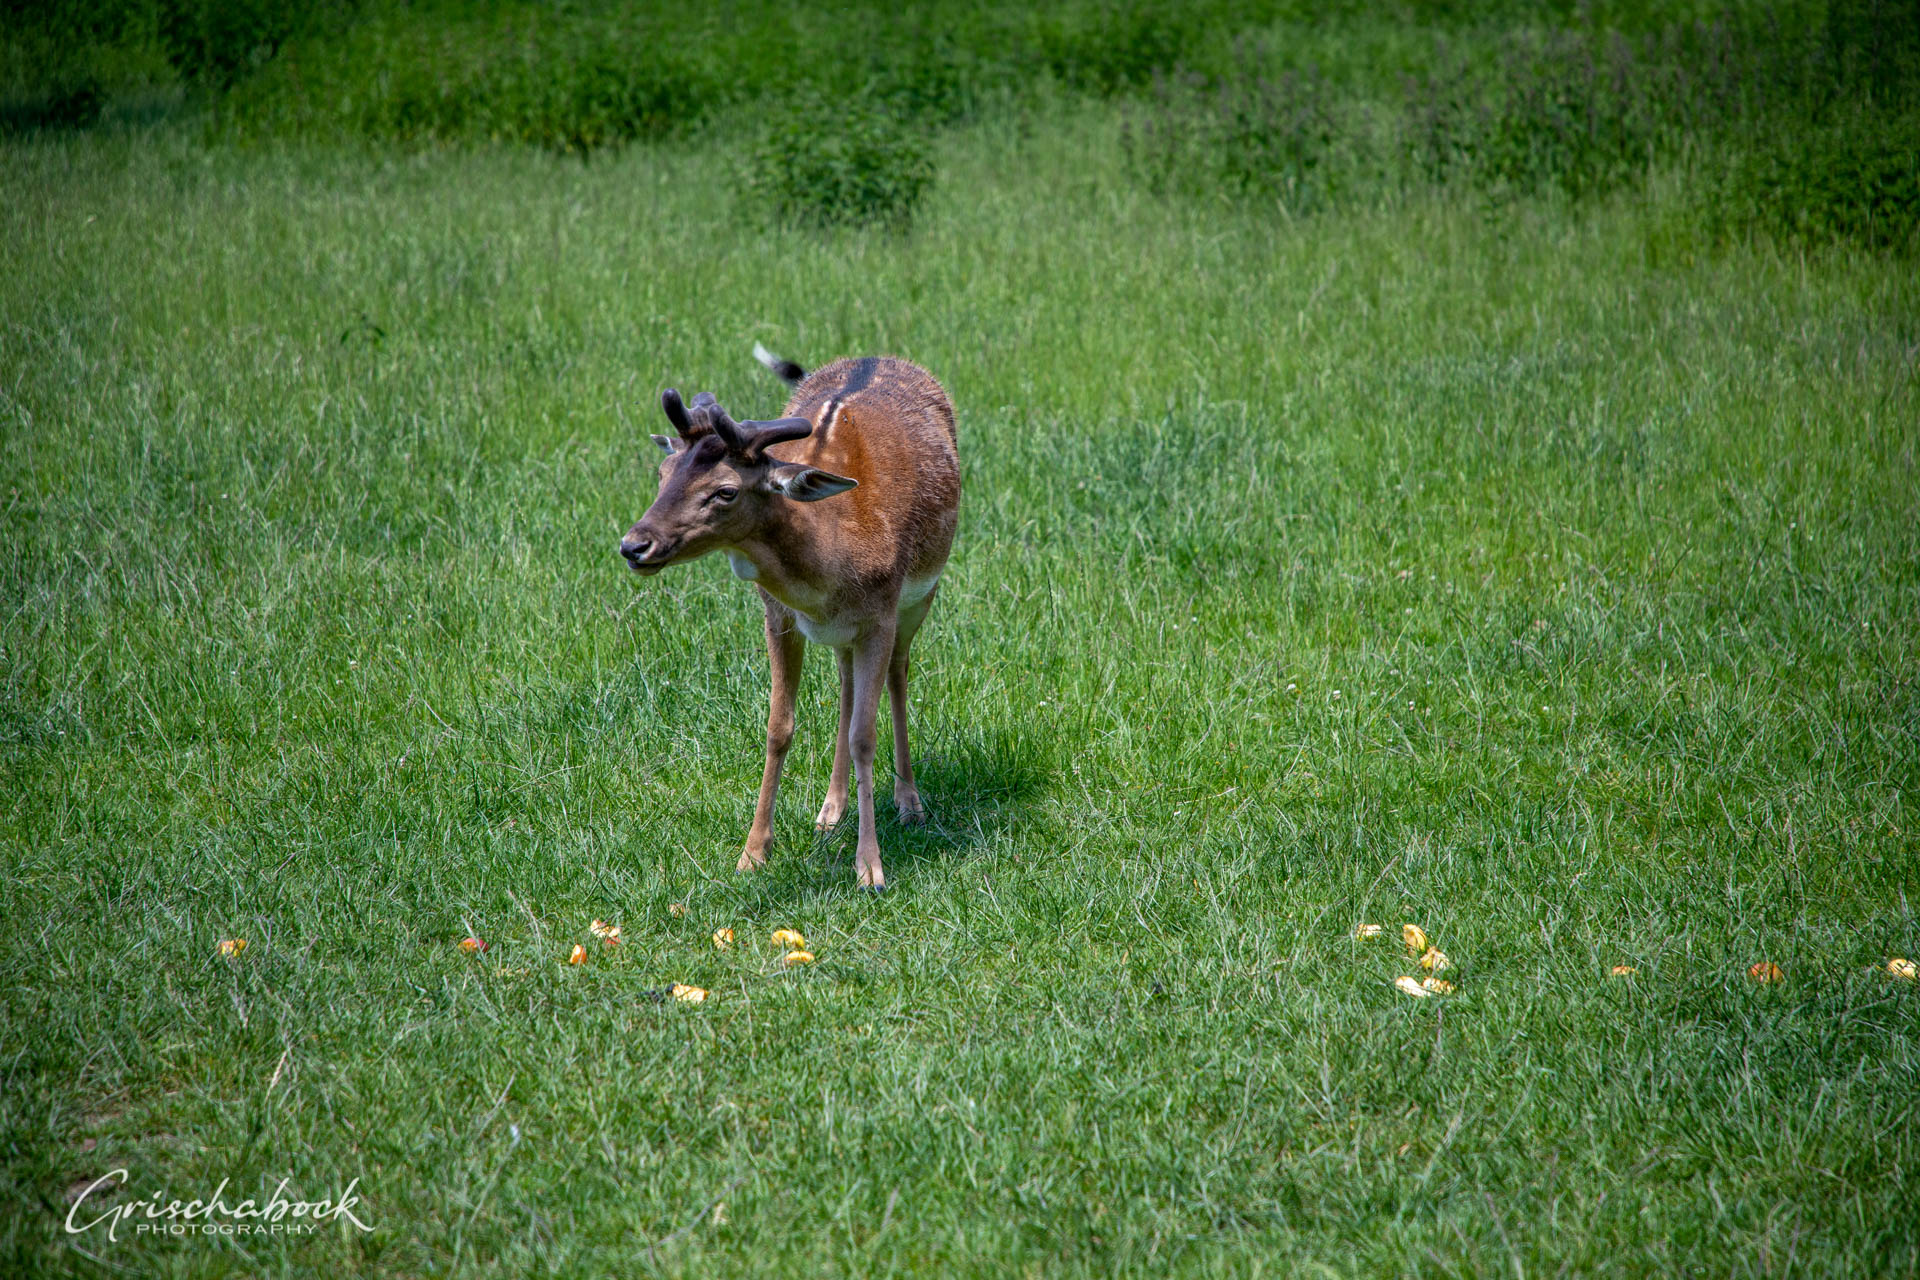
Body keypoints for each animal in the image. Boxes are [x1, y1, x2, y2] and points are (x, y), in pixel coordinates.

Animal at [618, 351, 960, 890]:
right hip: (843, 634)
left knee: (899, 674)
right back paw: (830, 811)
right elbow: (779, 726)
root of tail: (879, 356)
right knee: (845, 682)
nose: (634, 545)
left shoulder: (881, 615)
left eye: (725, 491)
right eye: (662, 470)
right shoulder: (777, 614)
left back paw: (910, 802)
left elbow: (866, 735)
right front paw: (753, 853)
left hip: (922, 595)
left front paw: (870, 869)